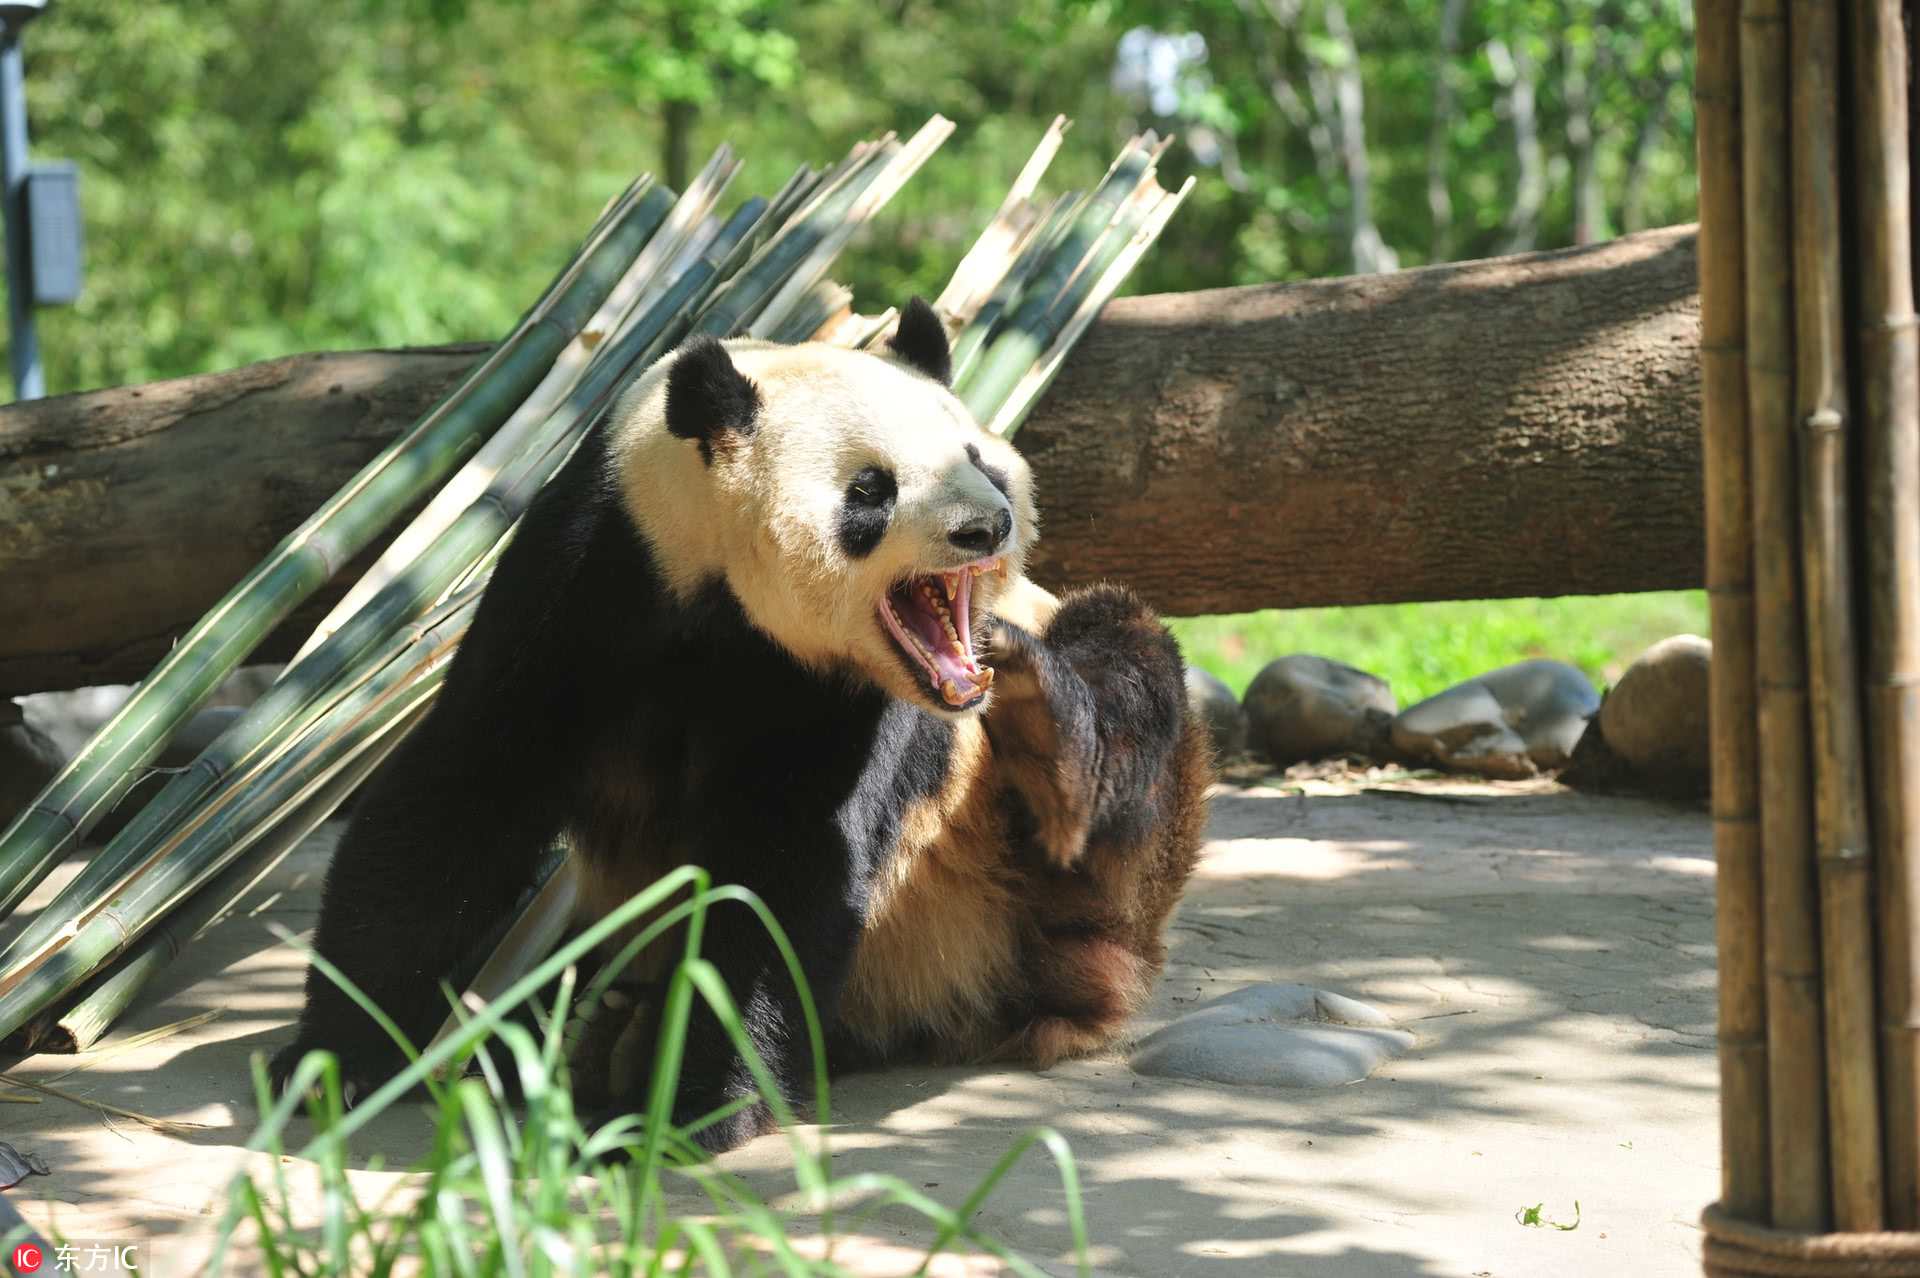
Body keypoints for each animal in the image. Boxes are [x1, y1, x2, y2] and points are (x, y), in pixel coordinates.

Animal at [270, 295, 1205, 1143]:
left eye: (980, 458)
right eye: (872, 489)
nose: (986, 527)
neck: (717, 581)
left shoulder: (831, 692)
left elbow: (787, 861)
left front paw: (698, 1104)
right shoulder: (586, 574)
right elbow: (461, 796)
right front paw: (334, 1063)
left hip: (1049, 875)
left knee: (1125, 678)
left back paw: (1045, 734)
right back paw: (579, 1028)